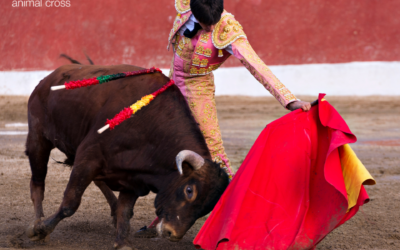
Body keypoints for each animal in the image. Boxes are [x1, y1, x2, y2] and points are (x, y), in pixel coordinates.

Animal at [25, 64, 228, 248]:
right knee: (37, 183)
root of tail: (48, 78)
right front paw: (41, 229)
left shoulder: (132, 177)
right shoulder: (88, 158)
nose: (173, 234)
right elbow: (70, 203)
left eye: (208, 207)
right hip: (38, 139)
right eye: (189, 190)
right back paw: (36, 224)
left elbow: (125, 211)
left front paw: (122, 242)